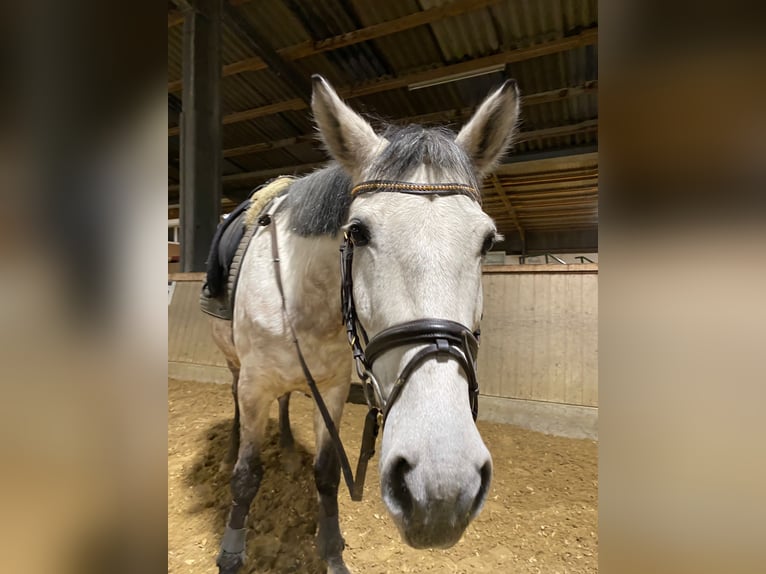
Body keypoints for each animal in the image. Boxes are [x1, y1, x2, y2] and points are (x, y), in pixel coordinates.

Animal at [210, 76, 520, 574]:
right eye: (356, 232)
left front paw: (332, 552)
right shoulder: (255, 386)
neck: (304, 302)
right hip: (236, 367)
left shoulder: (333, 388)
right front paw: (232, 551)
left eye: (487, 241)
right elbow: (246, 475)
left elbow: (326, 474)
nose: (441, 489)